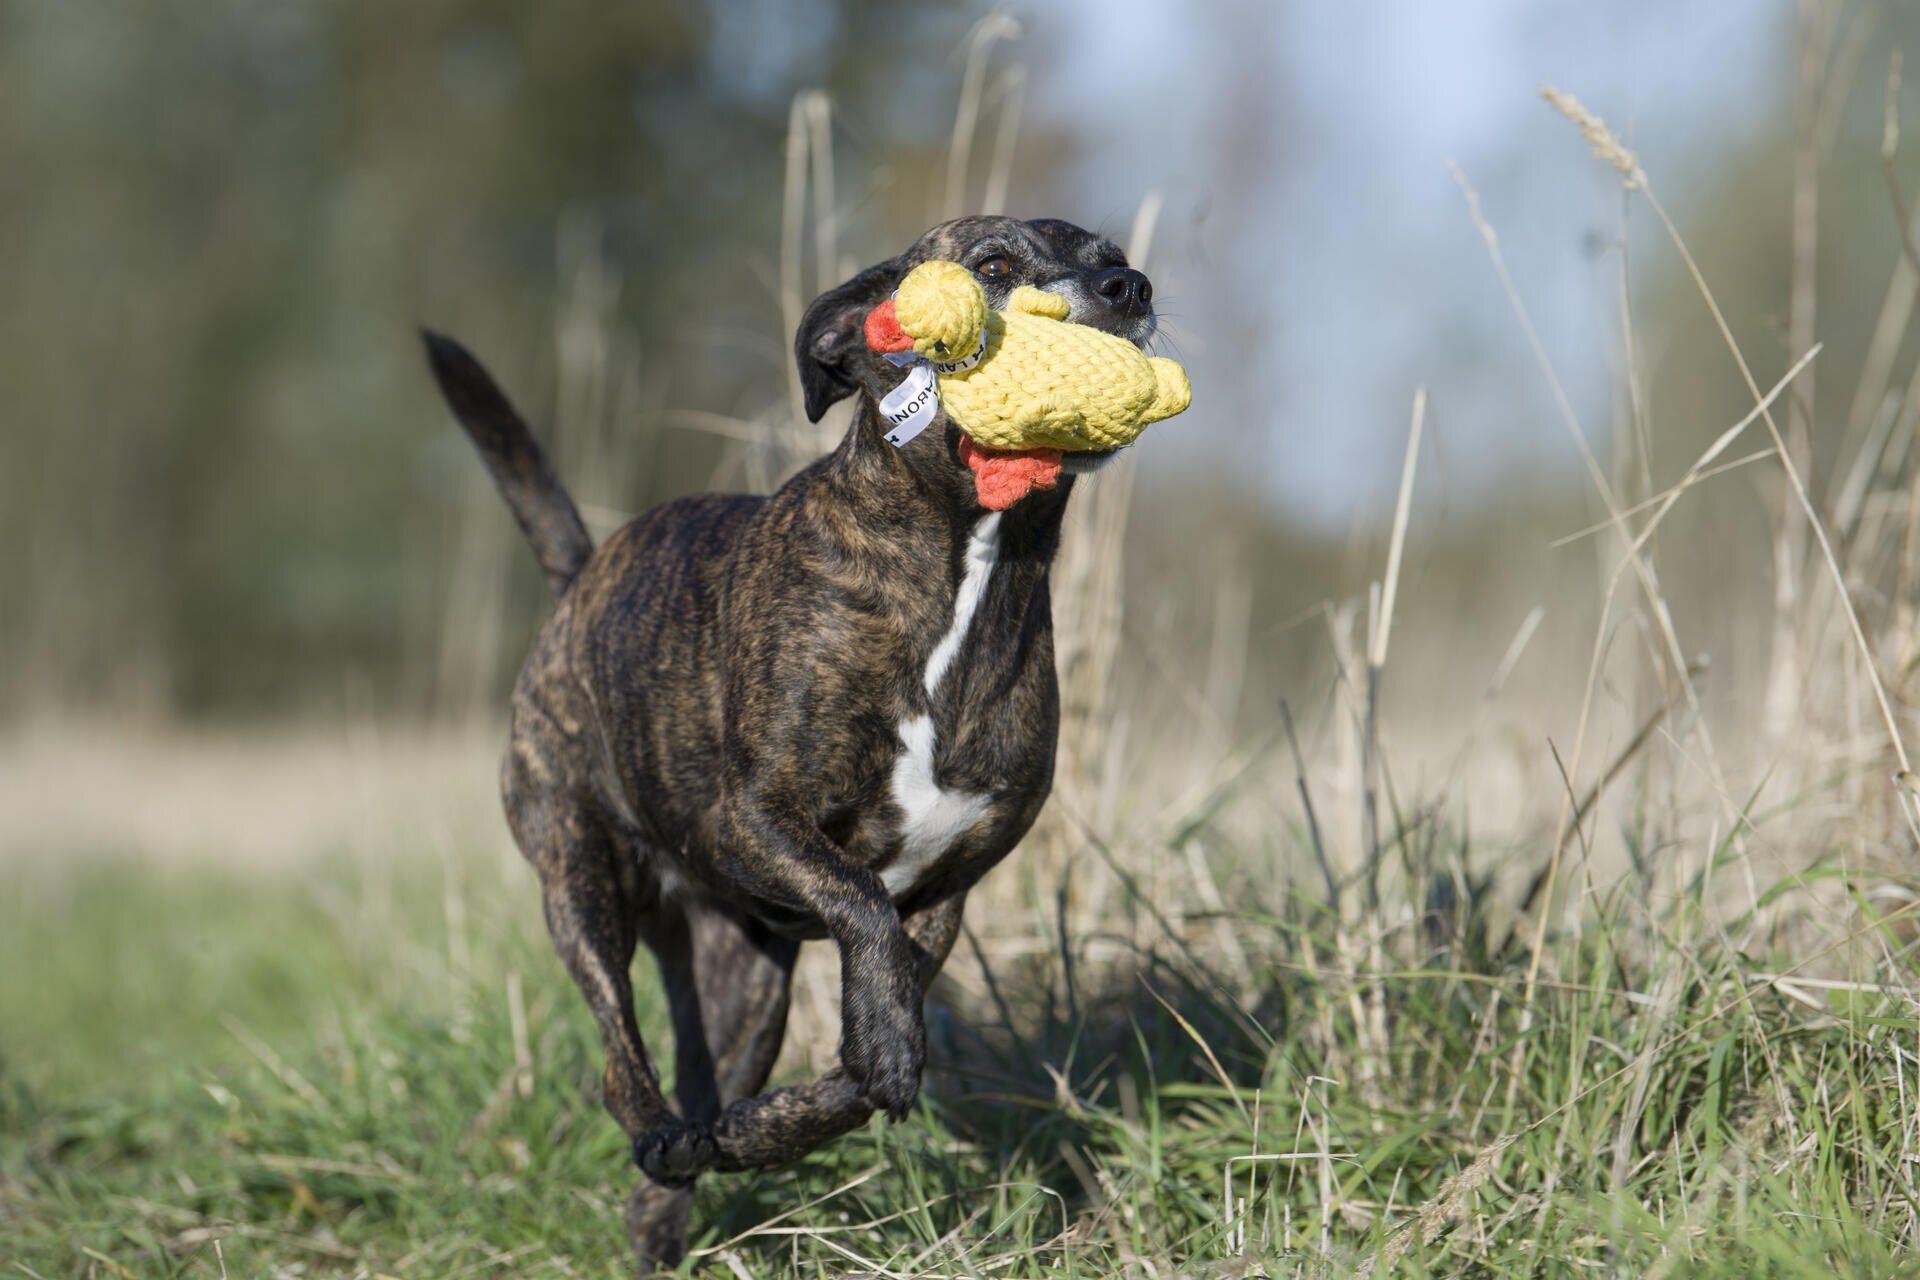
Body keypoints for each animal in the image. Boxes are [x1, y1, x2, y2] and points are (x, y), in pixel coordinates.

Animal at [424, 214, 1152, 1266]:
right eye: (994, 265)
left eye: (1113, 259)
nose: (1131, 290)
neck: (971, 559)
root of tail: (580, 579)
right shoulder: (752, 822)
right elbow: (860, 904)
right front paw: (879, 1048)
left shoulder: (945, 895)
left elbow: (870, 1039)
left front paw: (799, 1112)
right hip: (577, 872)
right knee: (619, 1050)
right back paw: (656, 1127)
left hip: (745, 989)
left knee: (689, 1122)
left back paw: (687, 1178)